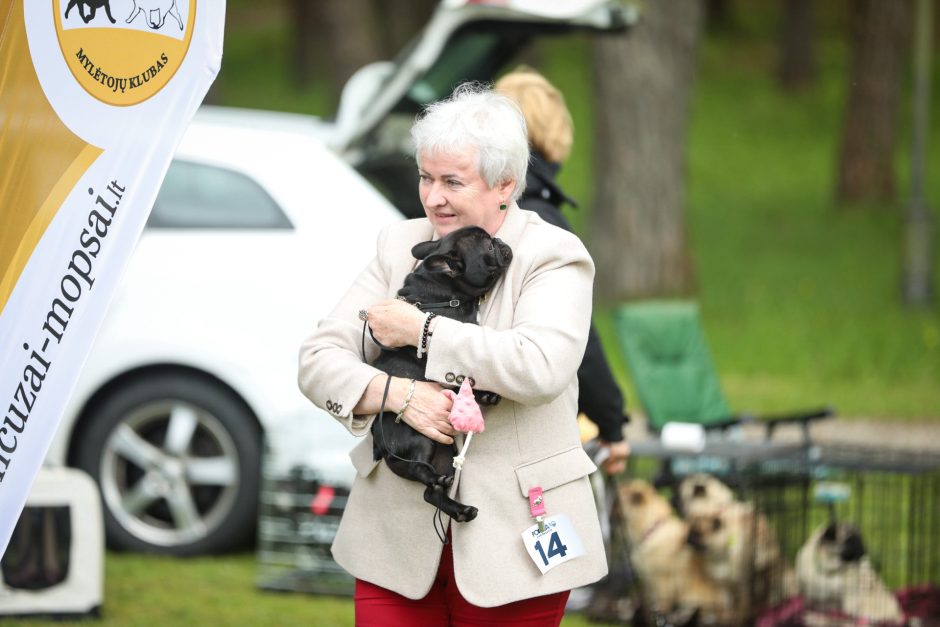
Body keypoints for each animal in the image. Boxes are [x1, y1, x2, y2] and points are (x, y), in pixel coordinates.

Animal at [369, 226, 511, 523]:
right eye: (488, 247)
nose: (500, 240)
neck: (445, 290)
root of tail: (379, 446)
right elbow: (464, 374)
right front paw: (487, 393)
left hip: (446, 453)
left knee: (430, 494)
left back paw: (460, 509)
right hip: (419, 438)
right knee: (417, 469)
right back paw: (436, 480)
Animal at [619, 479, 734, 624]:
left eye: (616, 504)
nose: (610, 515)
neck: (652, 531)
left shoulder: (662, 579)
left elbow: (662, 603)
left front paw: (660, 615)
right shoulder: (649, 581)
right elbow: (650, 600)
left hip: (693, 595)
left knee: (703, 612)